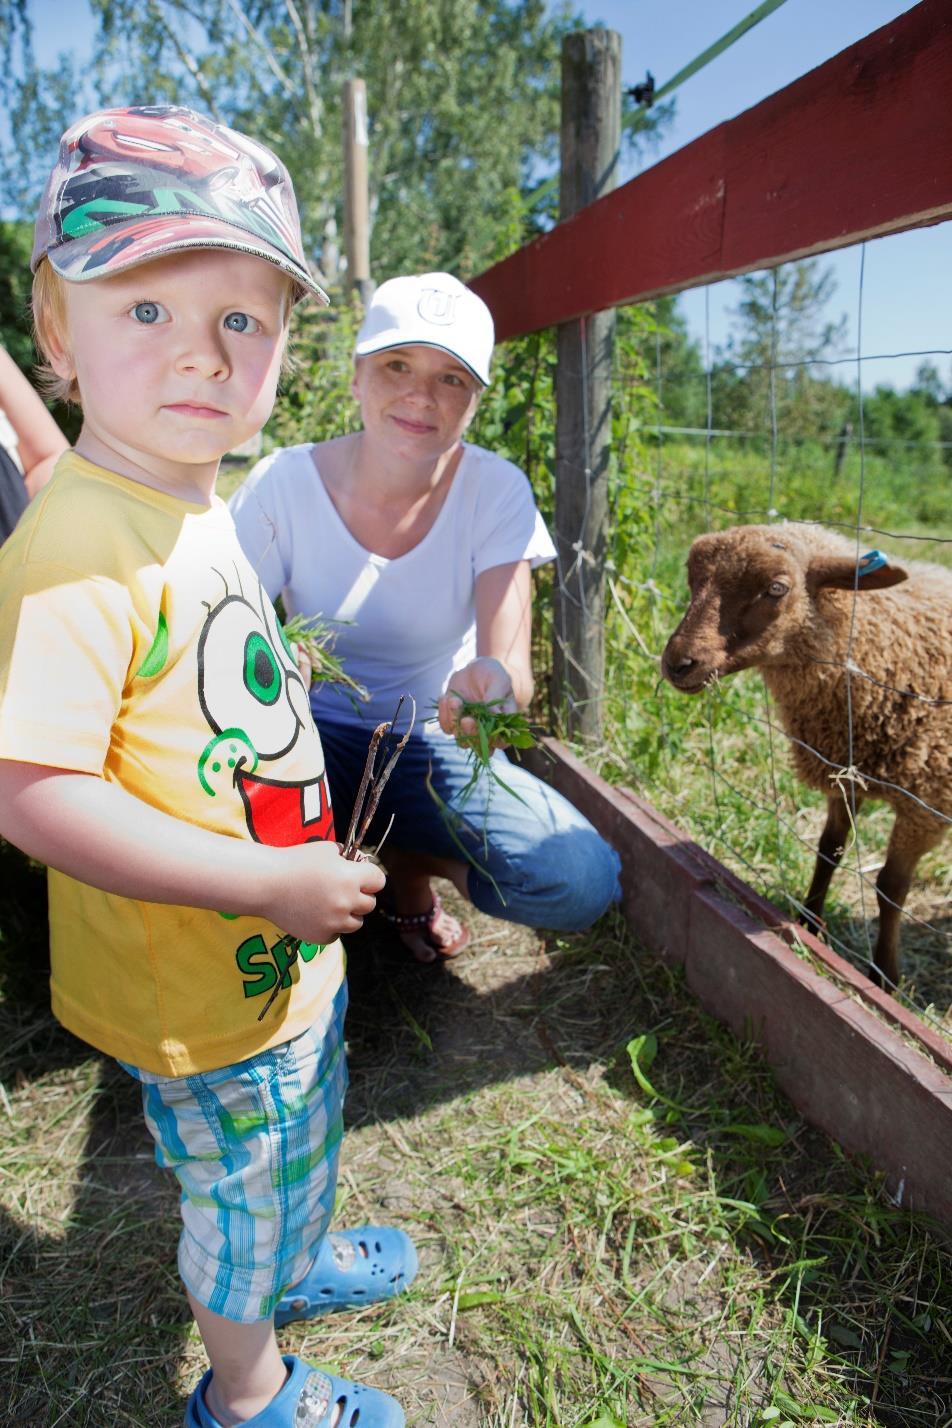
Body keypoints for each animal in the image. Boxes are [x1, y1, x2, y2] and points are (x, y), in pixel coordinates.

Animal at [662, 525, 952, 993]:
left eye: (776, 588)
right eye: (693, 576)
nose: (677, 663)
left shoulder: (926, 805)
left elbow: (890, 887)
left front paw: (884, 976)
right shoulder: (846, 773)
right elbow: (828, 850)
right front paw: (809, 924)